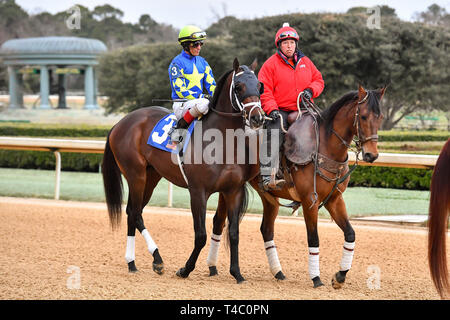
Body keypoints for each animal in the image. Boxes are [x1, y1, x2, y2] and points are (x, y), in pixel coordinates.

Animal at [101, 58, 264, 282]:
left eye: (259, 86)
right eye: (238, 87)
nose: (257, 118)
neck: (220, 141)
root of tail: (121, 122)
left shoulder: (233, 191)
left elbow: (233, 233)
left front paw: (237, 273)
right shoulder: (198, 191)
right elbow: (201, 235)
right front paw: (185, 269)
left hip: (151, 177)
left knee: (131, 212)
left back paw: (132, 263)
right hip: (136, 175)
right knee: (135, 213)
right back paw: (157, 259)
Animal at [207, 84, 386, 288]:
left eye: (380, 117)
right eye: (363, 116)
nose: (372, 155)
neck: (324, 147)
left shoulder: (334, 200)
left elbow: (350, 234)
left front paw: (340, 276)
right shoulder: (310, 201)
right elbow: (313, 238)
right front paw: (316, 278)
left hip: (269, 198)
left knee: (266, 229)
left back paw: (278, 272)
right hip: (228, 190)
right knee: (218, 222)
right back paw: (212, 267)